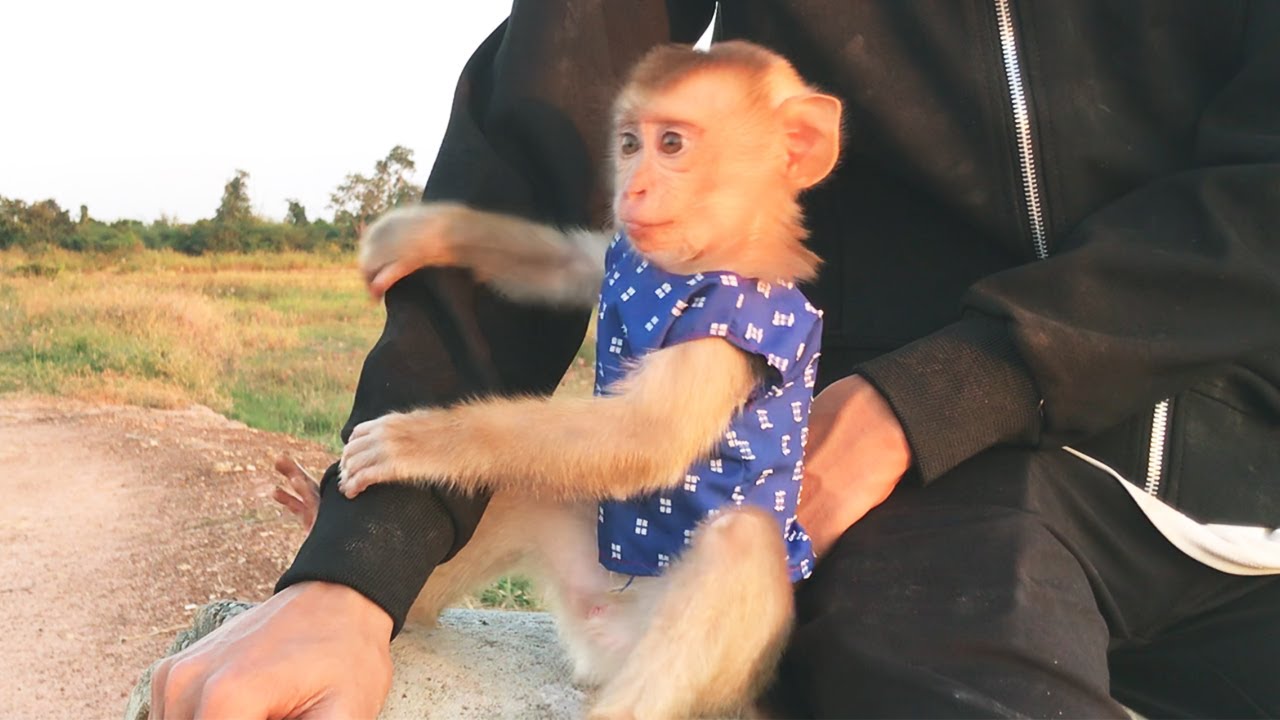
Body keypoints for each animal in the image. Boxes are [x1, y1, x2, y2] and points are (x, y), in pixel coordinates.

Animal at [276, 41, 842, 719]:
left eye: (672, 143)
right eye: (629, 144)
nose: (633, 188)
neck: (705, 261)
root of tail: (607, 637)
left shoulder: (729, 327)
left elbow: (646, 436)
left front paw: (414, 443)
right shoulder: (628, 256)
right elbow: (563, 265)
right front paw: (423, 235)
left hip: (714, 673)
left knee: (740, 543)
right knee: (520, 485)